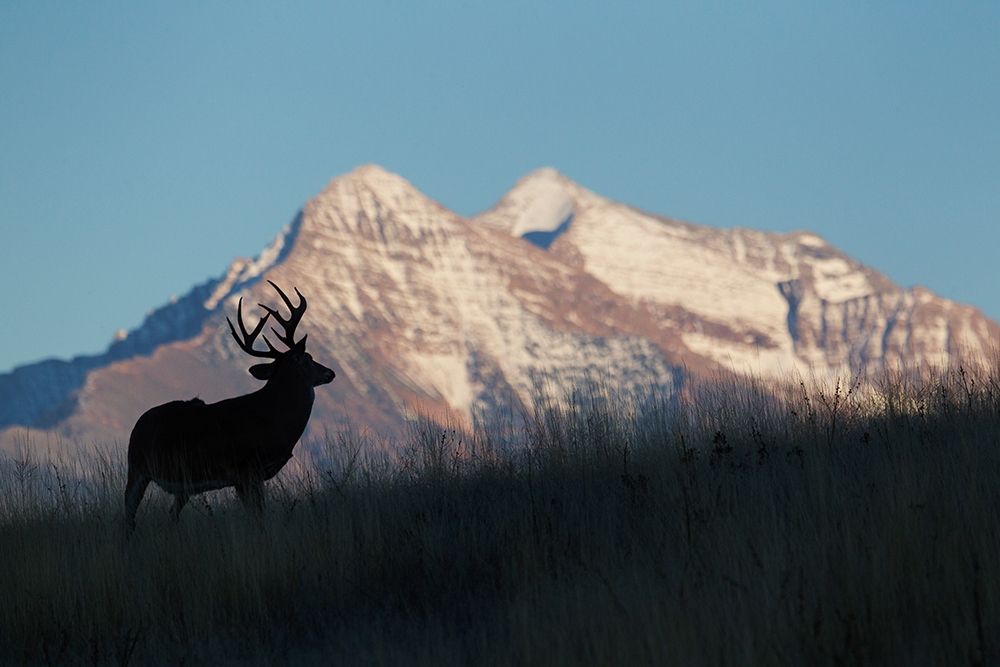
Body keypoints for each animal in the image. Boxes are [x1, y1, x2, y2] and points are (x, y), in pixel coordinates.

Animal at [124, 280, 335, 532]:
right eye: (307, 359)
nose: (330, 372)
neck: (274, 418)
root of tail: (137, 426)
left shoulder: (249, 477)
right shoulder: (247, 469)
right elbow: (258, 516)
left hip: (181, 484)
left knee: (169, 515)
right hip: (136, 468)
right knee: (127, 515)